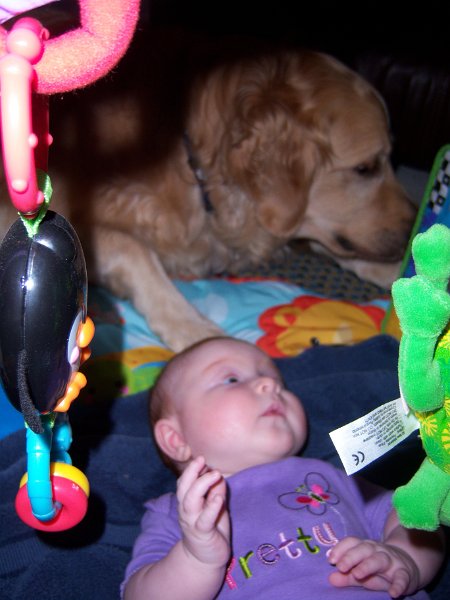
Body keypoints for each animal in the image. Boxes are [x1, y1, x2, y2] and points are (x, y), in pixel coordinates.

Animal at [0, 32, 416, 351]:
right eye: (365, 168)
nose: (415, 224)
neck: (192, 158)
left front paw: (406, 270)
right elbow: (136, 251)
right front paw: (198, 331)